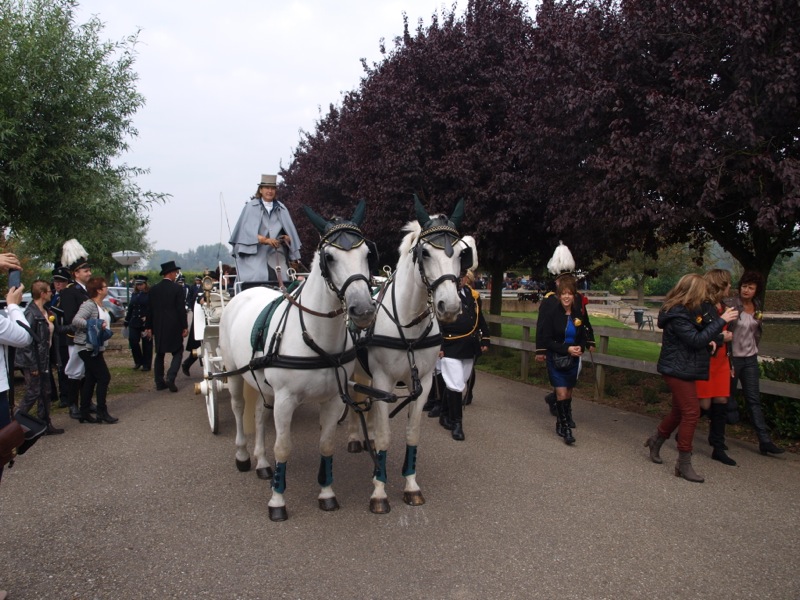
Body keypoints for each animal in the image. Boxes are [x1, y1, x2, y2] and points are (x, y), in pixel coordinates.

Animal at [219, 202, 378, 520]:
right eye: (329, 257)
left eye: (368, 254)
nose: (364, 309)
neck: (316, 339)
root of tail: (247, 291)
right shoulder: (285, 399)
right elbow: (283, 447)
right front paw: (277, 501)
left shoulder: (333, 400)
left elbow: (326, 445)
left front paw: (326, 493)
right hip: (234, 373)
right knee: (239, 408)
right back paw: (243, 456)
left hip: (262, 383)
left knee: (259, 414)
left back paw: (261, 463)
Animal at [348, 199, 472, 512]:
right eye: (425, 252)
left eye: (461, 254)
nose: (450, 306)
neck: (408, 325)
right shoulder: (383, 380)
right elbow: (384, 436)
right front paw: (379, 490)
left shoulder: (425, 383)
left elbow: (412, 434)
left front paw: (411, 485)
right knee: (355, 397)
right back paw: (355, 437)